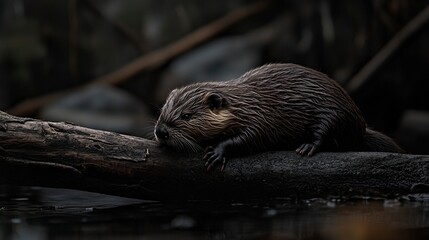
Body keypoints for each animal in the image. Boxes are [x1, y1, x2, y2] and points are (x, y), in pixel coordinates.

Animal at [155, 62, 402, 171]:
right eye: (162, 111)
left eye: (186, 115)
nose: (161, 132)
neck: (246, 102)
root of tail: (361, 127)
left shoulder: (261, 117)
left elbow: (250, 138)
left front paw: (216, 153)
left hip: (333, 113)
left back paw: (306, 147)